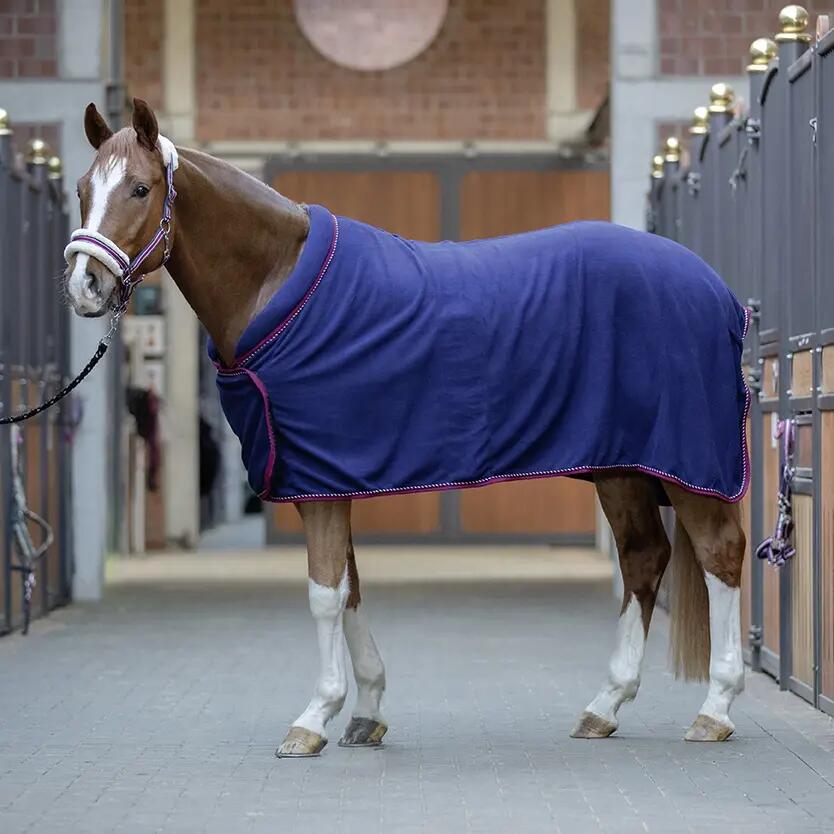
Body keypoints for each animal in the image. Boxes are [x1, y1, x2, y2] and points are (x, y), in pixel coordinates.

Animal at [63, 99, 747, 758]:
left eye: (141, 189)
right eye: (81, 187)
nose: (84, 285)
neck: (277, 282)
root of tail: (717, 290)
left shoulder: (320, 482)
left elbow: (324, 593)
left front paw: (313, 718)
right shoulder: (327, 478)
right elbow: (350, 589)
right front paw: (366, 711)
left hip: (688, 465)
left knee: (721, 554)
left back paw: (714, 710)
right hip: (623, 468)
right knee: (643, 558)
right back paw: (605, 706)